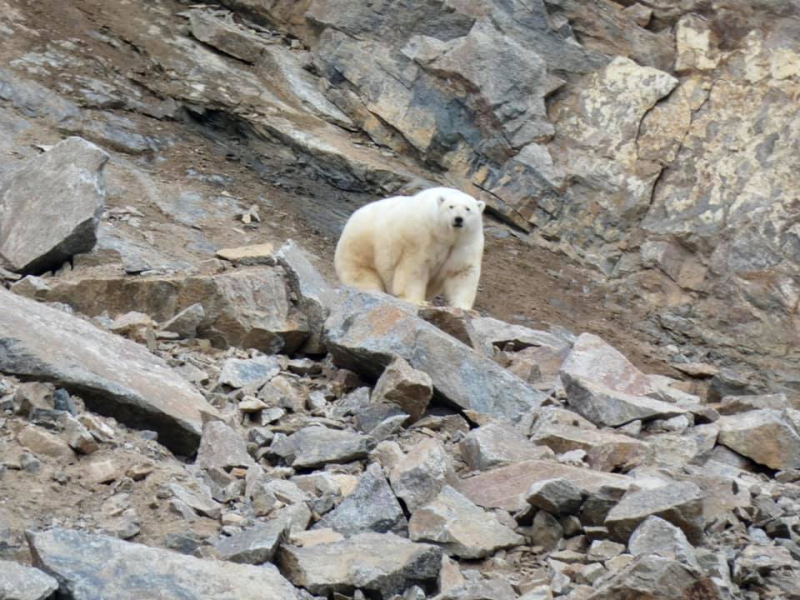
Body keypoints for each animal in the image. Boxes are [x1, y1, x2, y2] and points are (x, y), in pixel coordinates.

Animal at [332, 186, 484, 310]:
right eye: (451, 206)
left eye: (468, 209)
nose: (458, 219)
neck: (446, 235)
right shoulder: (422, 238)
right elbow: (414, 267)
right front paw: (417, 301)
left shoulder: (465, 243)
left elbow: (462, 272)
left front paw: (464, 308)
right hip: (362, 248)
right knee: (363, 275)